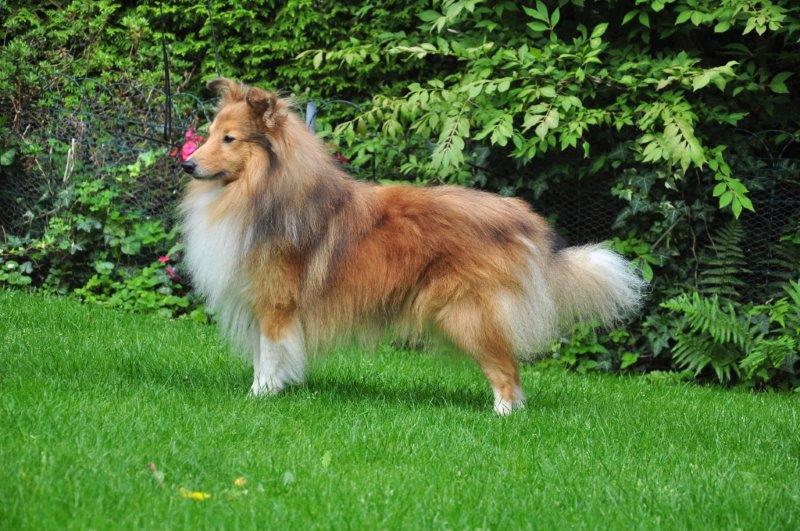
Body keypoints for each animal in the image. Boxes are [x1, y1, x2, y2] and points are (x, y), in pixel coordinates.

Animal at [180, 78, 645, 414]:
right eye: (209, 134)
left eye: (230, 139)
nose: (187, 164)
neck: (260, 191)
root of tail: (524, 219)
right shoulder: (260, 302)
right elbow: (263, 356)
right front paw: (265, 393)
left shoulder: (277, 304)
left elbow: (272, 354)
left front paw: (259, 399)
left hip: (467, 313)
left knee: (508, 372)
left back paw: (501, 416)